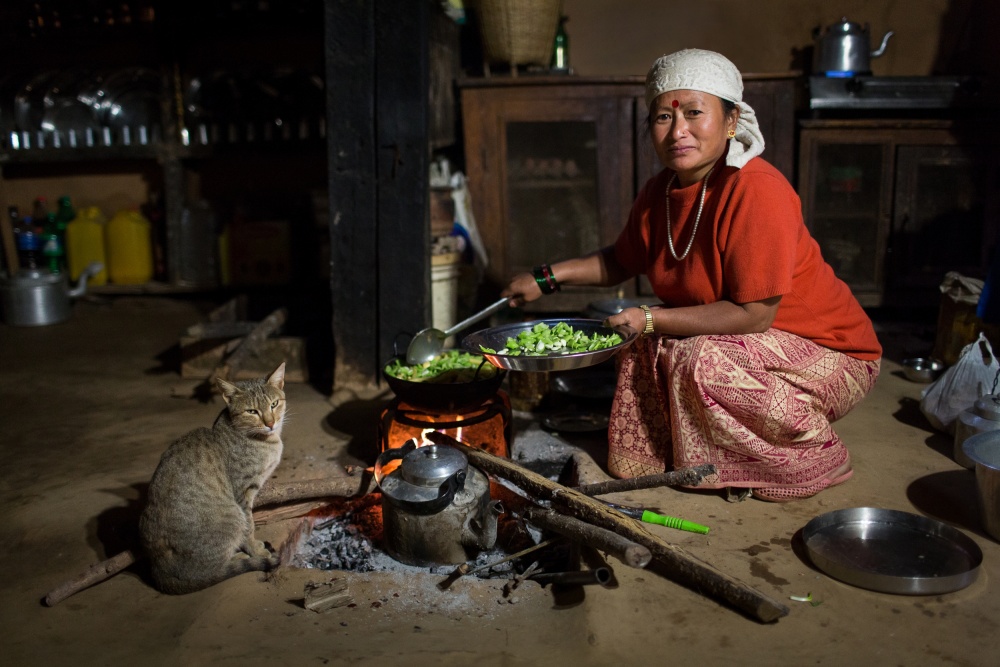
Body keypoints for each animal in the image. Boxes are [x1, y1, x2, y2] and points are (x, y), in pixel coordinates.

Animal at [138, 362, 286, 596]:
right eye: (252, 411)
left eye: (274, 404)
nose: (271, 423)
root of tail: (159, 571)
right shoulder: (242, 492)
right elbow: (249, 526)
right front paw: (254, 550)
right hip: (232, 516)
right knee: (210, 571)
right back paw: (238, 557)